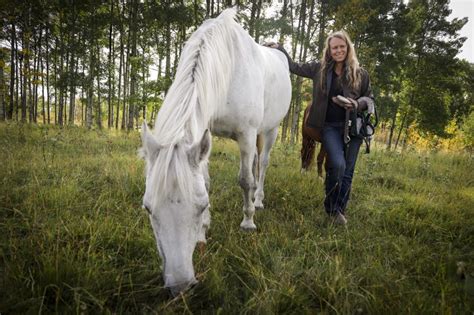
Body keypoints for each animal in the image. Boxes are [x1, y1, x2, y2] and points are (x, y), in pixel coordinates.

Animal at [139, 9, 290, 296]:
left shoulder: (247, 133)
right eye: (148, 209)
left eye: (200, 207)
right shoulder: (204, 131)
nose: (180, 286)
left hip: (270, 129)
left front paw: (248, 222)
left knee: (263, 164)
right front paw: (203, 233)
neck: (228, 66)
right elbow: (207, 181)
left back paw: (258, 200)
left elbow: (245, 180)